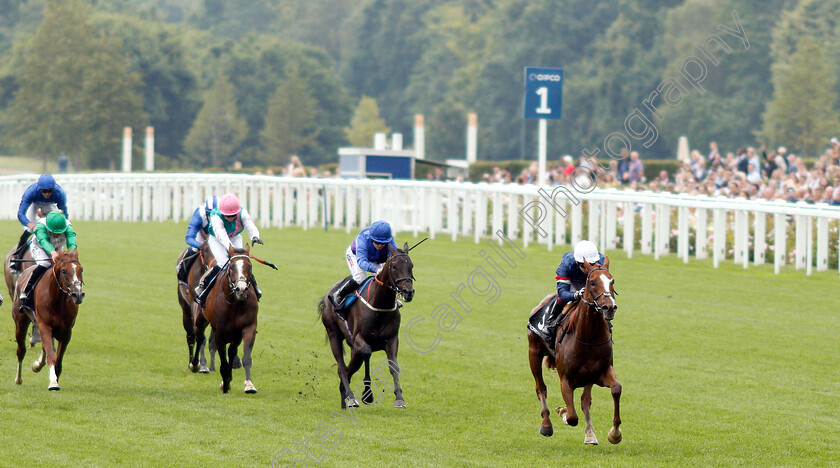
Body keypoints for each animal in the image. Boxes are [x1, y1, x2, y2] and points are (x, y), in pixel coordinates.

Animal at [13, 249, 84, 392]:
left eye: (81, 269)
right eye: (64, 271)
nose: (78, 294)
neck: (57, 300)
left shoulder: (66, 332)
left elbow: (58, 359)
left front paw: (55, 377)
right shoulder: (44, 325)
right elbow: (51, 355)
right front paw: (53, 382)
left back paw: (37, 365)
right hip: (20, 322)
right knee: (21, 350)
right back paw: (18, 379)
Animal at [190, 245, 260, 394]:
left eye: (250, 266)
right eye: (231, 267)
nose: (241, 289)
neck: (235, 303)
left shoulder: (247, 327)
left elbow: (244, 357)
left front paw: (249, 385)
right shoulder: (219, 332)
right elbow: (223, 360)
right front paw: (226, 384)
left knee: (231, 351)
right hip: (200, 319)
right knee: (200, 338)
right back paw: (195, 364)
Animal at [318, 243, 414, 408]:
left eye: (411, 266)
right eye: (394, 266)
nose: (408, 292)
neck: (380, 306)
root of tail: (328, 294)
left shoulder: (392, 339)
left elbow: (393, 366)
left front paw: (399, 398)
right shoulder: (358, 338)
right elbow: (366, 352)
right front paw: (367, 394)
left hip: (351, 347)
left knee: (349, 368)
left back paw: (344, 401)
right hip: (333, 334)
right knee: (342, 368)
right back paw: (351, 397)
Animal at [528, 258, 620, 444]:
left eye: (612, 281)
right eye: (592, 282)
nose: (609, 307)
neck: (589, 338)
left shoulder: (600, 373)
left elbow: (616, 389)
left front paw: (614, 433)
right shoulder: (565, 379)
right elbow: (571, 417)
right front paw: (563, 412)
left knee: (585, 400)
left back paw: (590, 434)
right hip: (533, 351)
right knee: (541, 388)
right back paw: (546, 424)